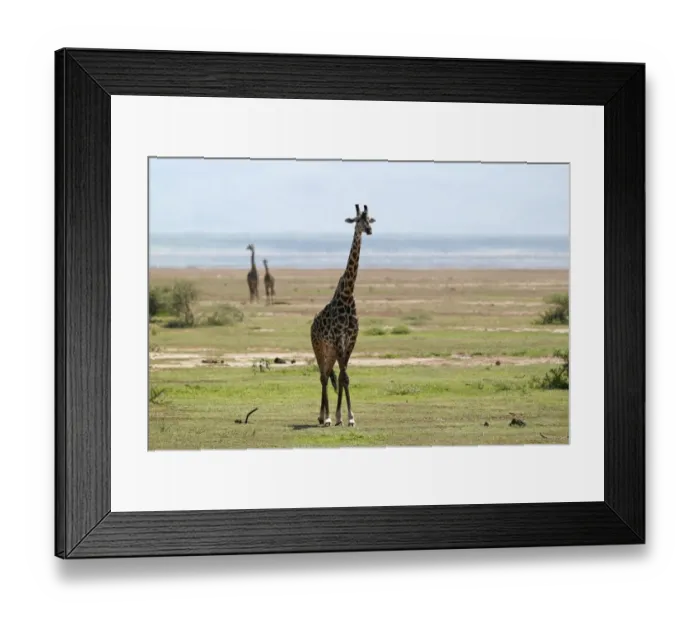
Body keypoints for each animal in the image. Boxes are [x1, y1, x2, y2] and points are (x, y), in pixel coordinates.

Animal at [310, 204, 375, 428]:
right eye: (356, 220)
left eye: (369, 219)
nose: (369, 231)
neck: (347, 296)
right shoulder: (339, 339)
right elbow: (341, 376)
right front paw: (338, 417)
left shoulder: (351, 339)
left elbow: (344, 377)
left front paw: (347, 417)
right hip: (320, 347)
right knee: (323, 376)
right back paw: (324, 417)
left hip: (330, 350)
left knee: (330, 374)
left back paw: (326, 416)